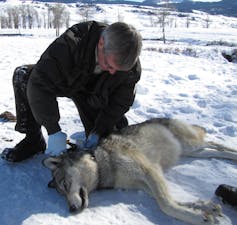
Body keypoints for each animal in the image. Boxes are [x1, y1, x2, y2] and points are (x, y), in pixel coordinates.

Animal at [42, 118, 237, 225]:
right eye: (61, 194)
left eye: (66, 184)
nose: (71, 209)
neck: (101, 164)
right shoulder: (145, 184)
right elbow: (176, 200)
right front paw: (206, 208)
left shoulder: (150, 171)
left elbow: (166, 204)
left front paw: (197, 218)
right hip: (191, 151)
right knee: (213, 151)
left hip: (191, 144)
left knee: (215, 144)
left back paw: (233, 152)